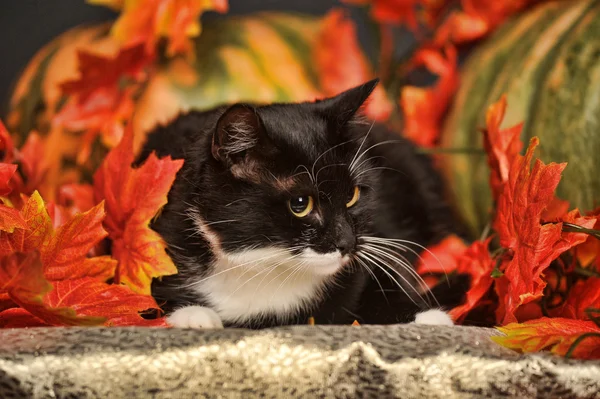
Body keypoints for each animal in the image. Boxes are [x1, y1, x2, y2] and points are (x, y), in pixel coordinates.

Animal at [138, 79, 466, 330]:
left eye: (353, 195)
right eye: (300, 203)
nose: (347, 243)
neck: (268, 267)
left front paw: (426, 316)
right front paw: (194, 316)